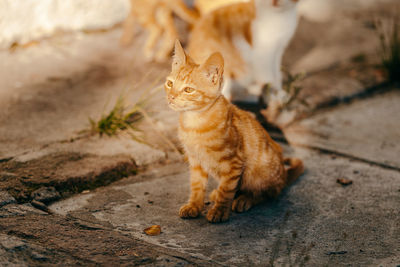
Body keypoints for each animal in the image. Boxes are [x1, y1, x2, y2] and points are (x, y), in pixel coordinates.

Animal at [166, 40, 304, 224]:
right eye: (170, 84)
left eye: (188, 90)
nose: (171, 97)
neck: (194, 122)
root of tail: (283, 176)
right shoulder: (196, 162)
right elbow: (196, 186)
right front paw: (194, 205)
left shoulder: (233, 163)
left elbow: (227, 189)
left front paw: (219, 210)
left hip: (259, 172)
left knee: (268, 193)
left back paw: (245, 199)